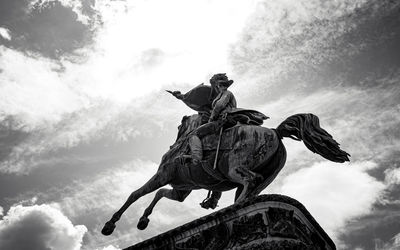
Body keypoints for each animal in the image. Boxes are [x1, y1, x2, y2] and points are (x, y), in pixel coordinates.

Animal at [101, 113, 348, 234]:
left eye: (179, 127)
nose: (174, 142)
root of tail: (275, 132)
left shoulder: (162, 175)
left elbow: (136, 194)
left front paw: (110, 224)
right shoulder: (181, 190)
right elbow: (159, 194)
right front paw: (143, 220)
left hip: (235, 167)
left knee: (251, 179)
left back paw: (234, 210)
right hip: (264, 176)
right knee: (251, 189)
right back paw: (233, 208)